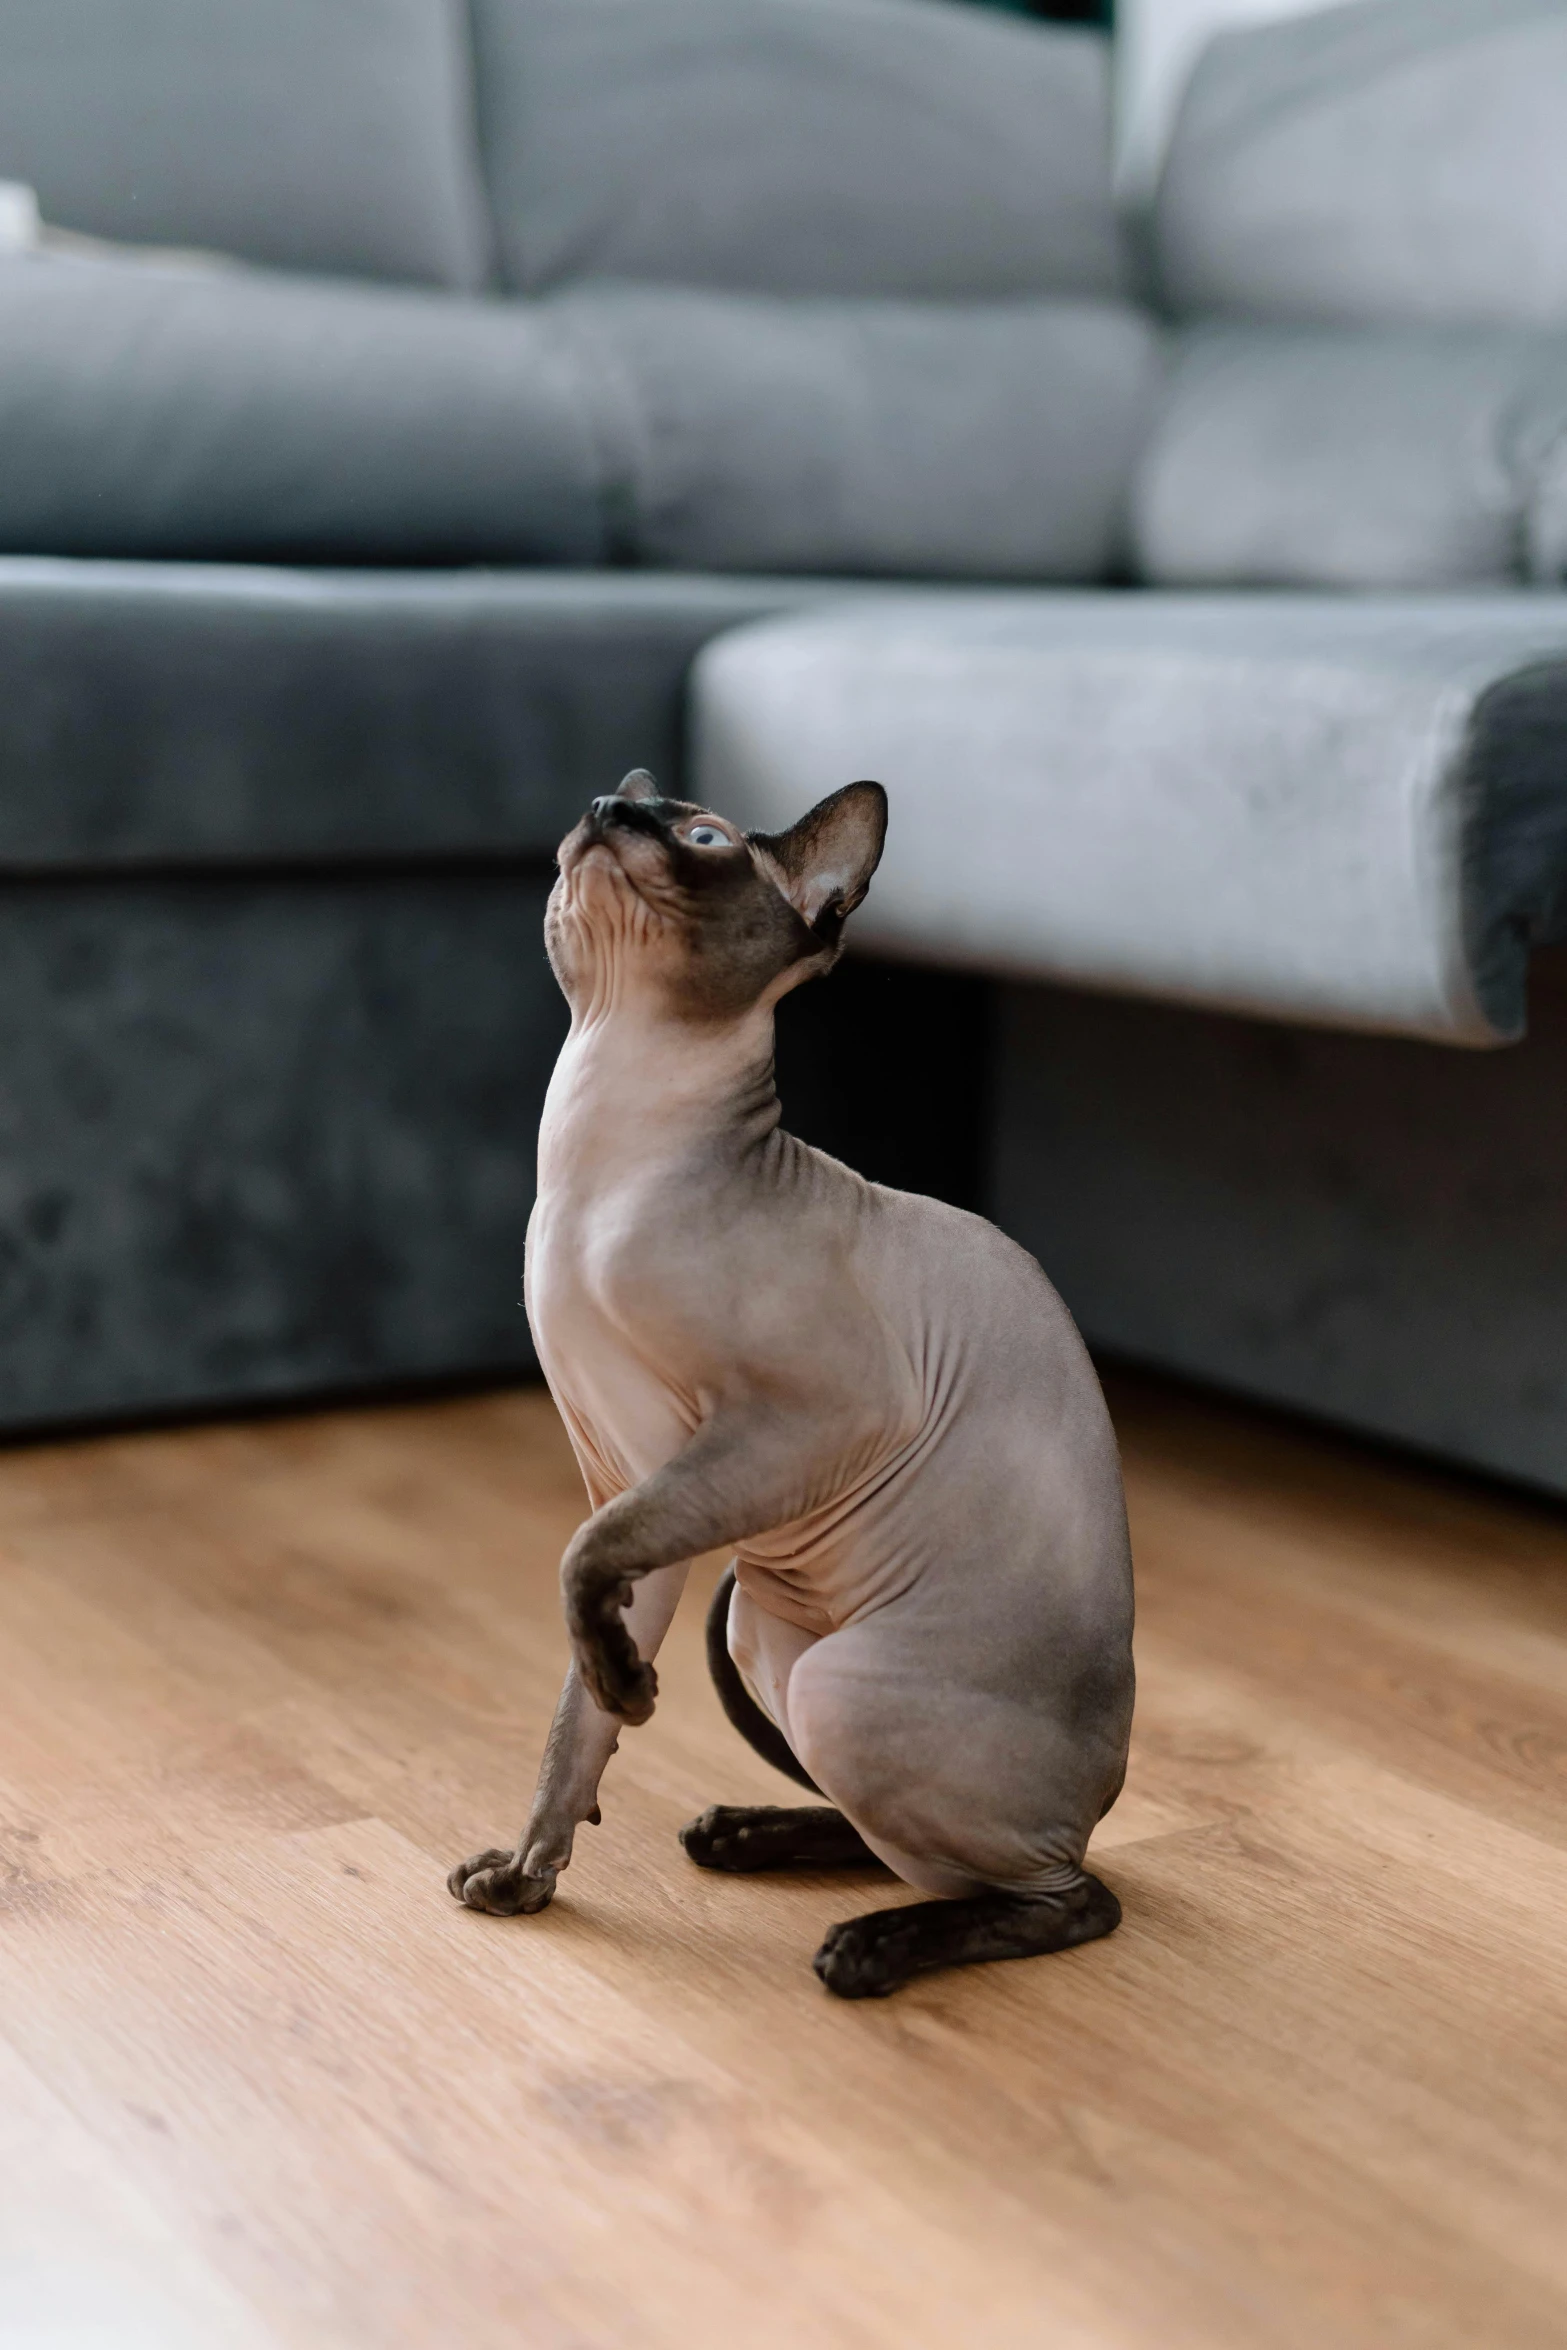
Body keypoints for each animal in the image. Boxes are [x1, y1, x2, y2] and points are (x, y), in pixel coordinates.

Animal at [446, 775, 1132, 2002]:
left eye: (700, 836)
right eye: (626, 799)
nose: (604, 810)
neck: (589, 1164)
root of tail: (1099, 1800)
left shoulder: (791, 1428)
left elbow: (577, 1564)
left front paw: (632, 1694)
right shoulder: (631, 1473)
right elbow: (573, 1711)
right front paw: (528, 1871)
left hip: (838, 1687)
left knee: (1061, 1898)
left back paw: (865, 1948)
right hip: (760, 1627)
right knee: (926, 1853)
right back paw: (745, 1836)